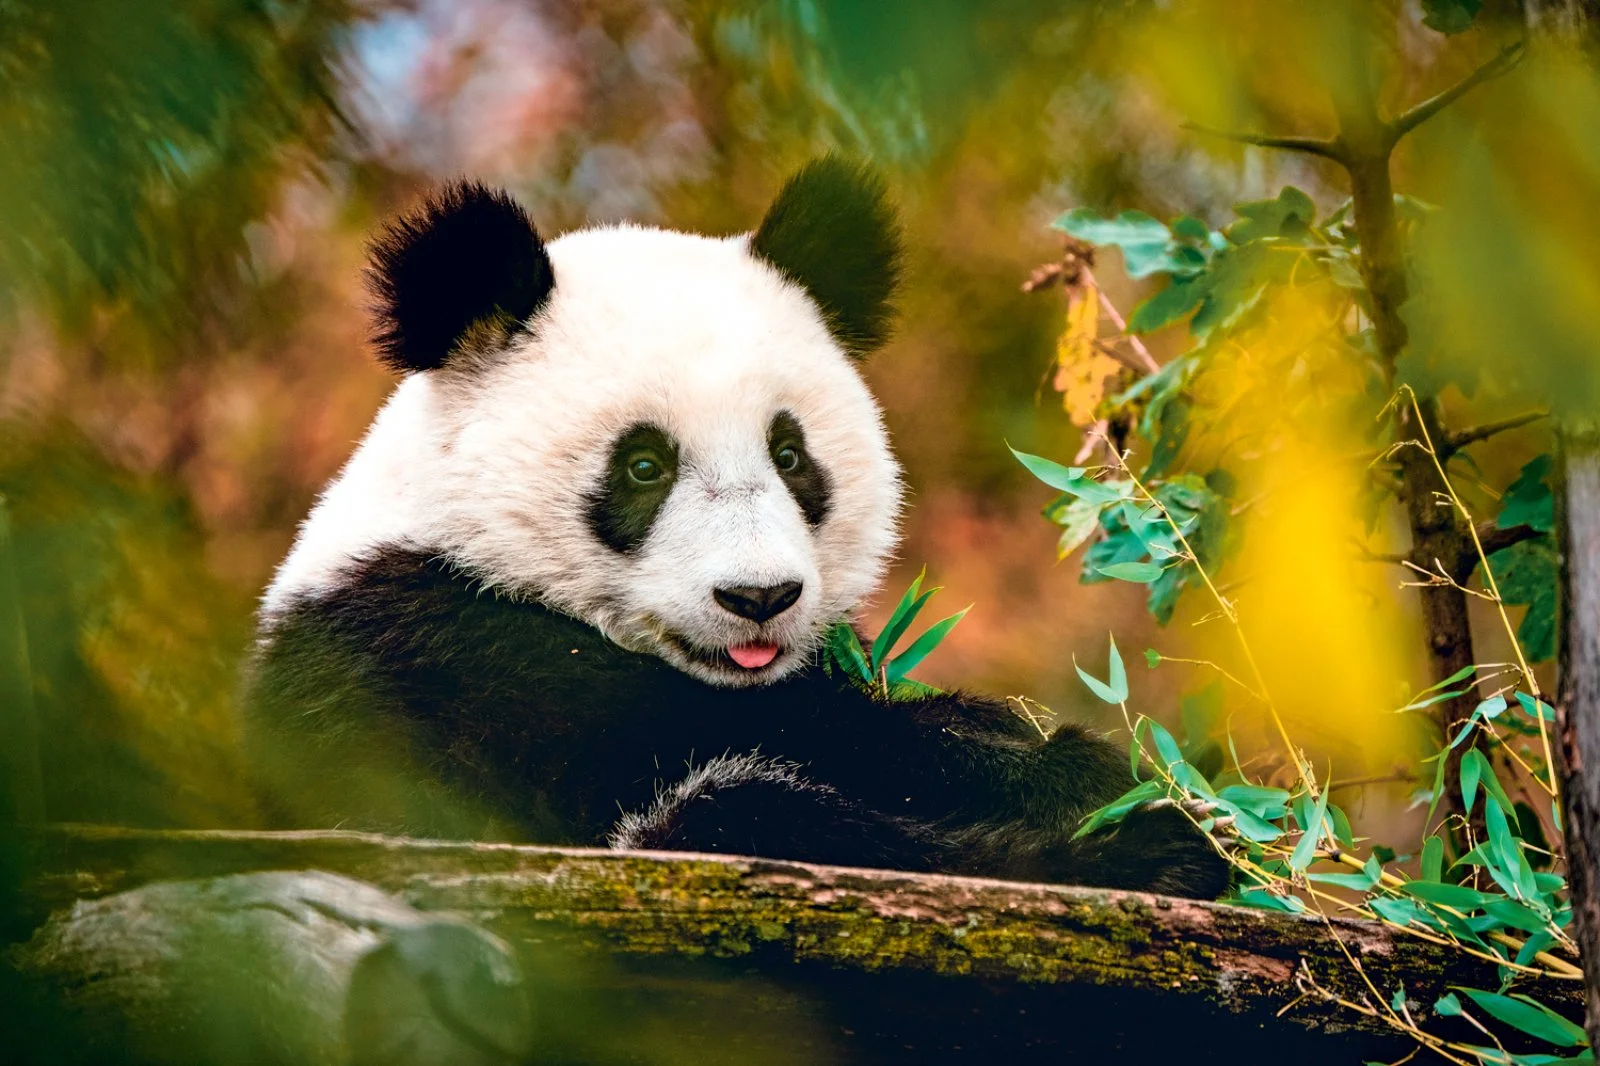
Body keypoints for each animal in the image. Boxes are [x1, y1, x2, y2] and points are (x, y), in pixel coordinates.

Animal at [246, 158, 1228, 900]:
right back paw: (1139, 858)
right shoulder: (435, 652)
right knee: (748, 815)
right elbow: (745, 734)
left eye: (790, 456)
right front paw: (1074, 773)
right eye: (644, 467)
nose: (760, 598)